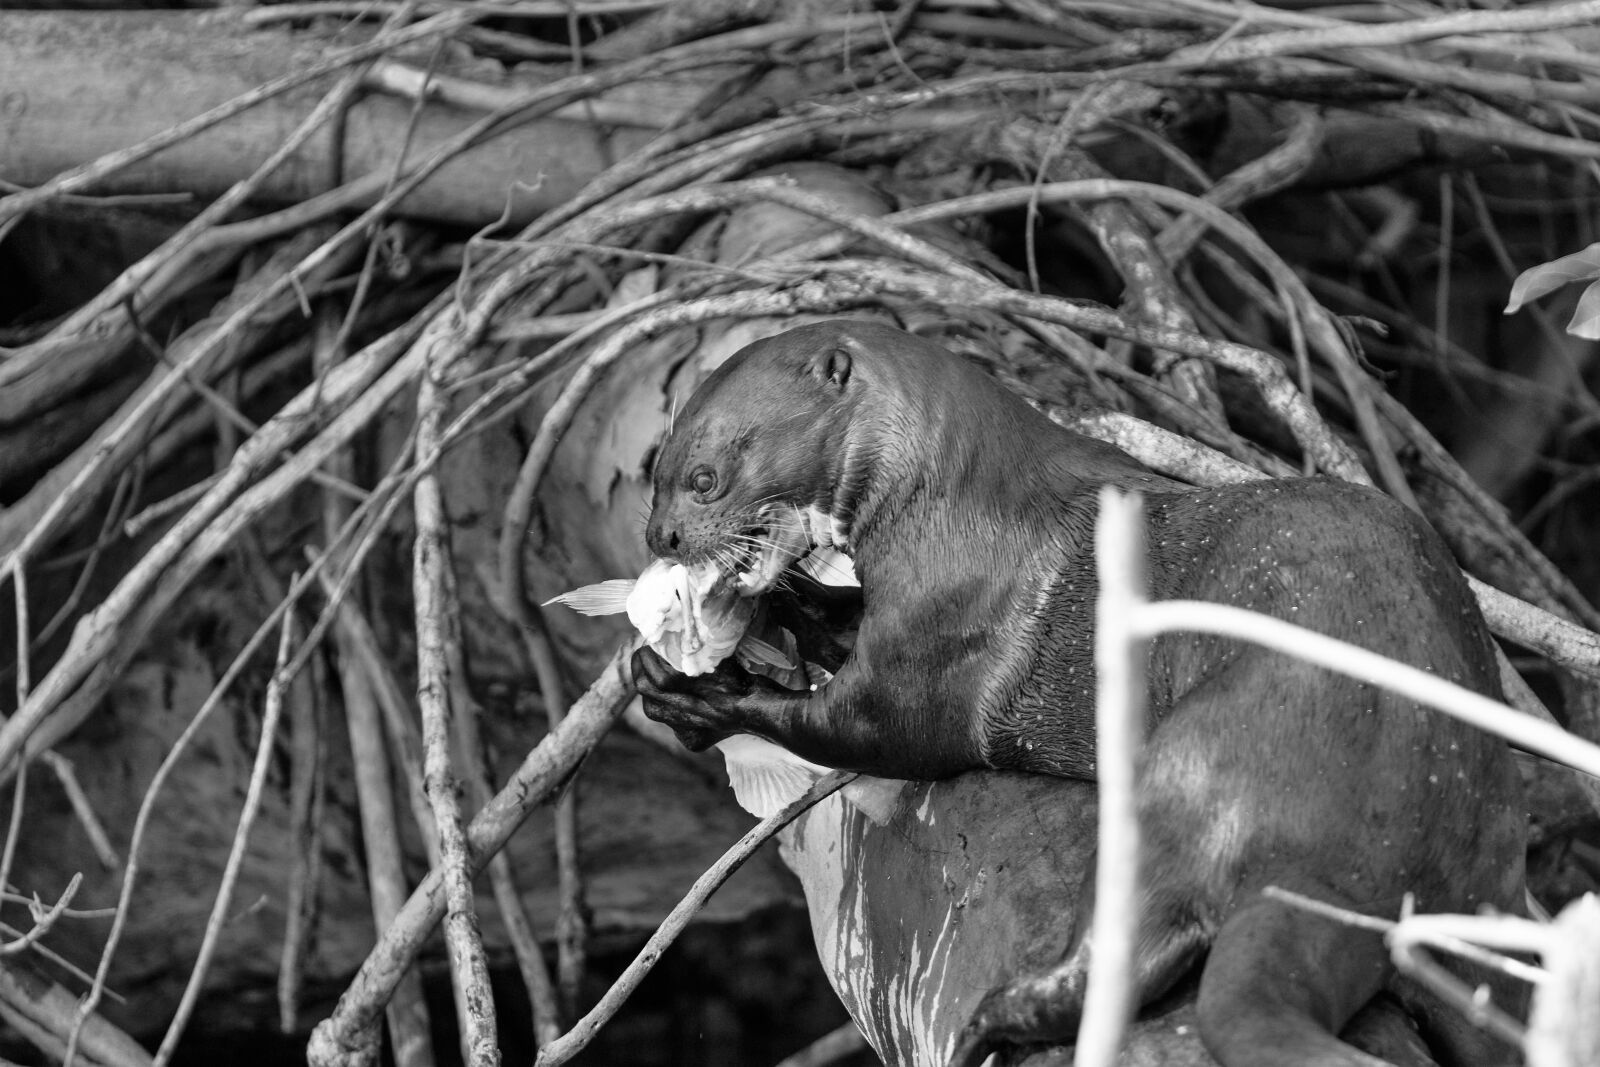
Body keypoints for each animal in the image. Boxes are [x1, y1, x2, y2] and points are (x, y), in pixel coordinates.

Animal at [630, 321, 1529, 1067]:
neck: (945, 503)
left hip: (1203, 763)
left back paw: (990, 1024)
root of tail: (1371, 861)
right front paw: (773, 614)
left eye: (705, 478)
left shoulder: (938, 639)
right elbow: (834, 620)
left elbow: (870, 726)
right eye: (656, 472)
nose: (659, 536)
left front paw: (691, 691)